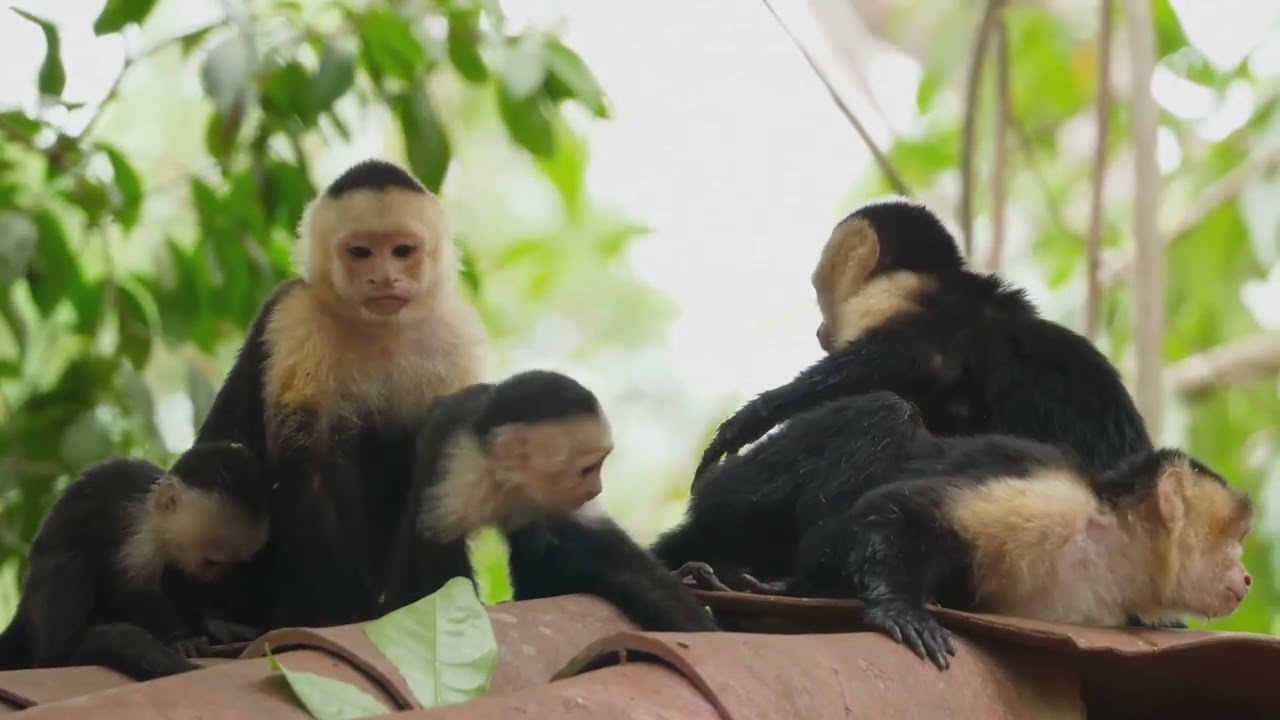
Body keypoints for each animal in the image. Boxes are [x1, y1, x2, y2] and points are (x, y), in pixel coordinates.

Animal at [0, 442, 270, 680]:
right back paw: (61, 652)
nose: (215, 579)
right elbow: (131, 587)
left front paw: (214, 623)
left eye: (233, 563)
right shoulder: (141, 533)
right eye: (211, 561)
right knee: (70, 564)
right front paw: (180, 638)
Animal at [194, 158, 490, 628]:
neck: (380, 331)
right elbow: (307, 469)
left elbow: (446, 459)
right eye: (361, 252)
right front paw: (347, 613)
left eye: (402, 251)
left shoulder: (454, 334)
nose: (383, 277)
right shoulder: (297, 318)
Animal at [381, 370, 719, 633]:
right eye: (587, 469)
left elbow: (614, 557)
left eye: (600, 464)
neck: (509, 481)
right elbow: (437, 569)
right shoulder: (455, 473)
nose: (597, 489)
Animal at [655, 392, 1253, 670]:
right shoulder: (1052, 503)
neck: (1111, 554)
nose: (1246, 577)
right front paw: (899, 608)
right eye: (1233, 543)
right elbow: (892, 510)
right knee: (884, 413)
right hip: (733, 495)